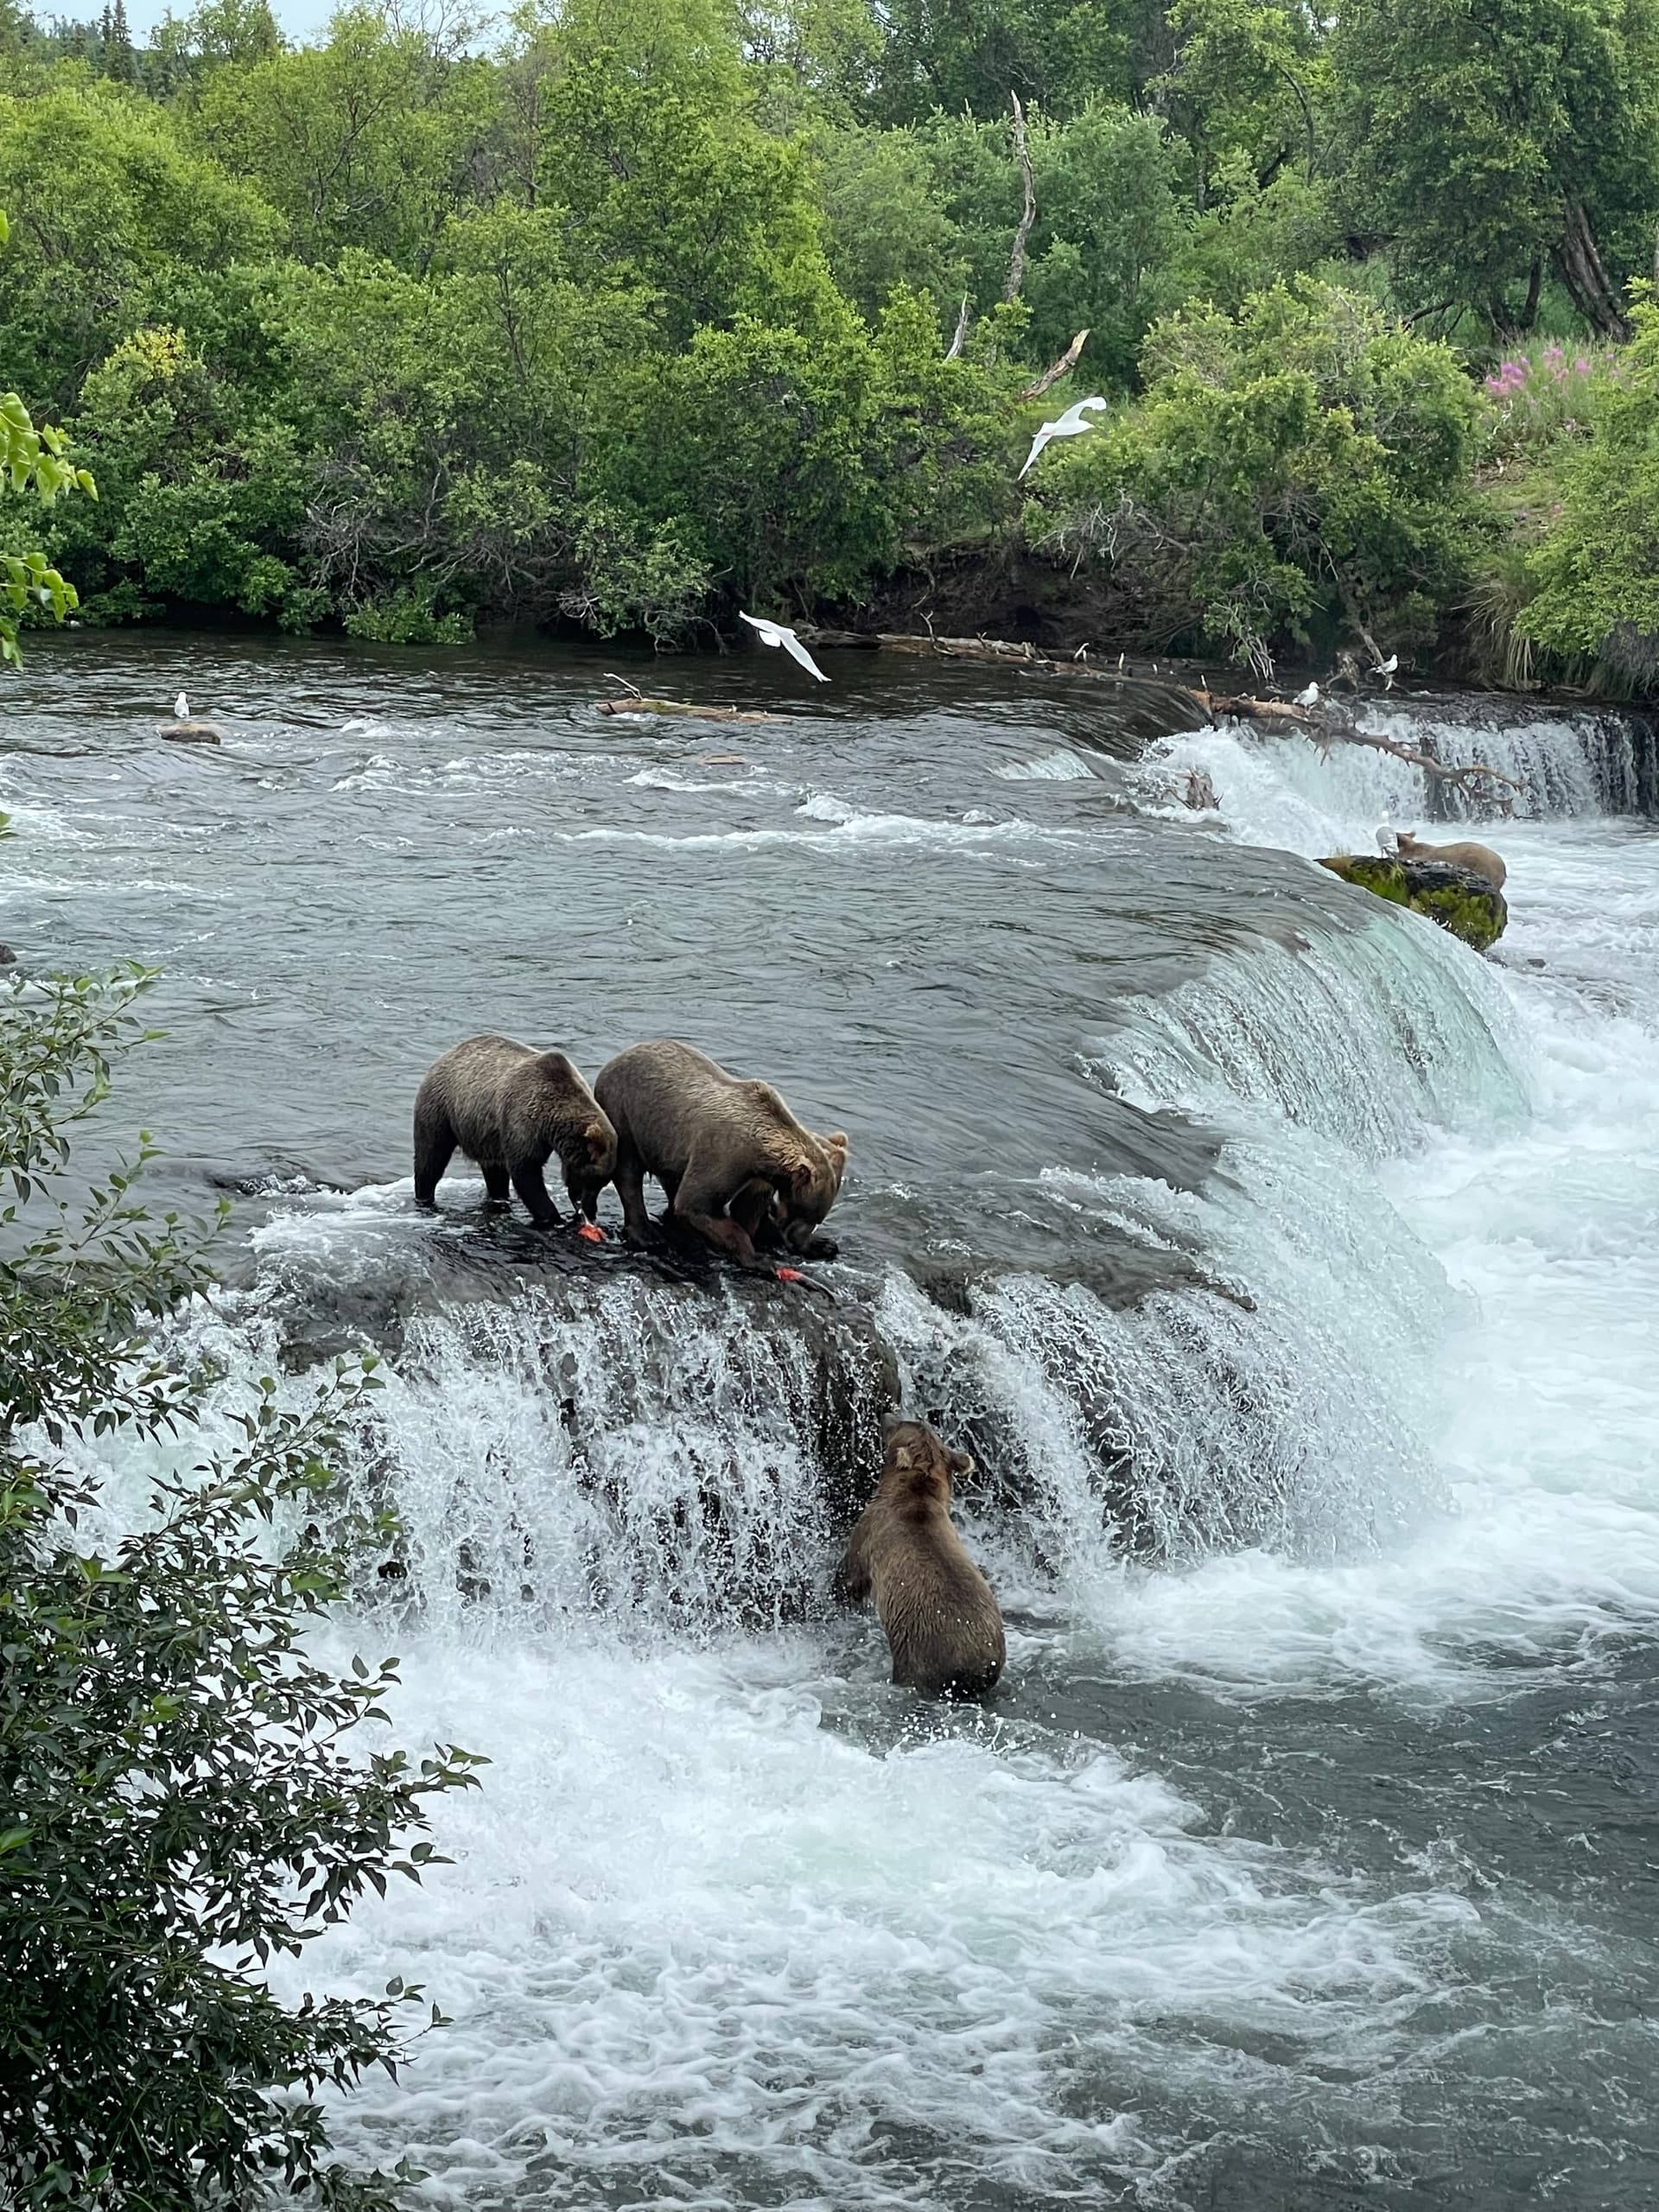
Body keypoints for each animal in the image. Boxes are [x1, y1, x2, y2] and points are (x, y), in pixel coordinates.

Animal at [413, 1034, 617, 1228]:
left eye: (603, 1183)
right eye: (593, 1180)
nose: (590, 1210)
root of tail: (448, 1053)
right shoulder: (523, 1121)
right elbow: (526, 1172)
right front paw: (555, 1219)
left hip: (486, 1135)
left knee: (495, 1172)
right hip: (441, 1109)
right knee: (431, 1157)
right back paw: (424, 1197)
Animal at [593, 1038, 848, 1264]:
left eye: (818, 1217)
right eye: (806, 1213)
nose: (798, 1238)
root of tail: (618, 1056)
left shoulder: (758, 1177)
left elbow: (746, 1208)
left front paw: (821, 1244)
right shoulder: (725, 1155)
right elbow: (697, 1204)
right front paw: (758, 1257)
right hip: (625, 1113)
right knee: (629, 1173)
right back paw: (646, 1235)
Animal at [832, 1418, 1006, 1701]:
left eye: (898, 1426)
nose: (886, 1414)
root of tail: (978, 1669)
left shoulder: (870, 1532)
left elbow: (850, 1577)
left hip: (917, 1650)